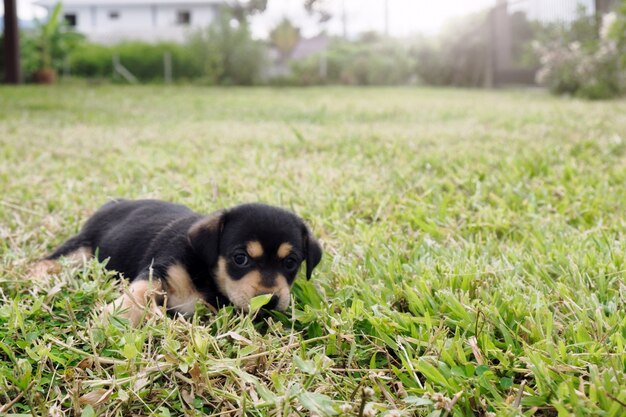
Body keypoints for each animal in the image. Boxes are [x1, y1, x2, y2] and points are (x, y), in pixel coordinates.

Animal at [31, 199, 320, 324]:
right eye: (240, 258)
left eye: (291, 263)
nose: (270, 301)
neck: (207, 273)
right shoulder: (162, 267)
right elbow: (139, 291)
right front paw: (117, 317)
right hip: (83, 248)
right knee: (51, 260)